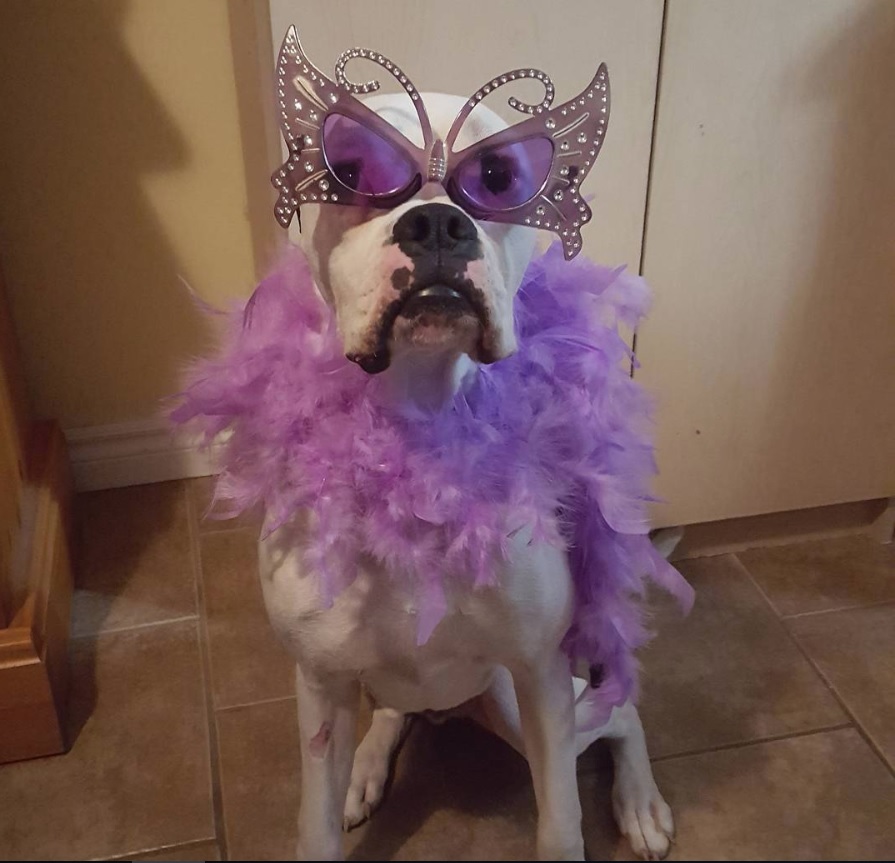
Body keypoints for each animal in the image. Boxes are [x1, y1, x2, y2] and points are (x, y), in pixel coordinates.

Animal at [245, 23, 680, 860]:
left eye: (500, 178)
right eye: (352, 170)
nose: (439, 223)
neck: (416, 439)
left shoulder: (538, 676)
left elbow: (559, 824)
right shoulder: (320, 686)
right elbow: (314, 823)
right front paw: (345, 788)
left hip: (520, 701)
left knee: (617, 711)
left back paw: (640, 800)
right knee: (391, 714)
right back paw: (366, 769)